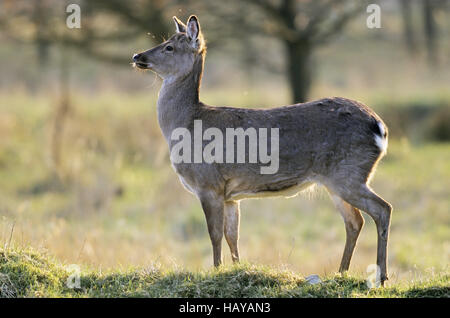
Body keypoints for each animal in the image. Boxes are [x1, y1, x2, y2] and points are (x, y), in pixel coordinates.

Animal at [132, 14, 392, 286]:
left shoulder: (208, 183)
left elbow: (214, 234)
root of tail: (380, 128)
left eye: (169, 47)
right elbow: (232, 235)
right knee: (355, 221)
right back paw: (340, 272)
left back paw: (382, 276)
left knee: (382, 209)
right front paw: (237, 270)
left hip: (348, 173)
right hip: (337, 180)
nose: (137, 56)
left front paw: (215, 270)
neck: (186, 124)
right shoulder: (230, 195)